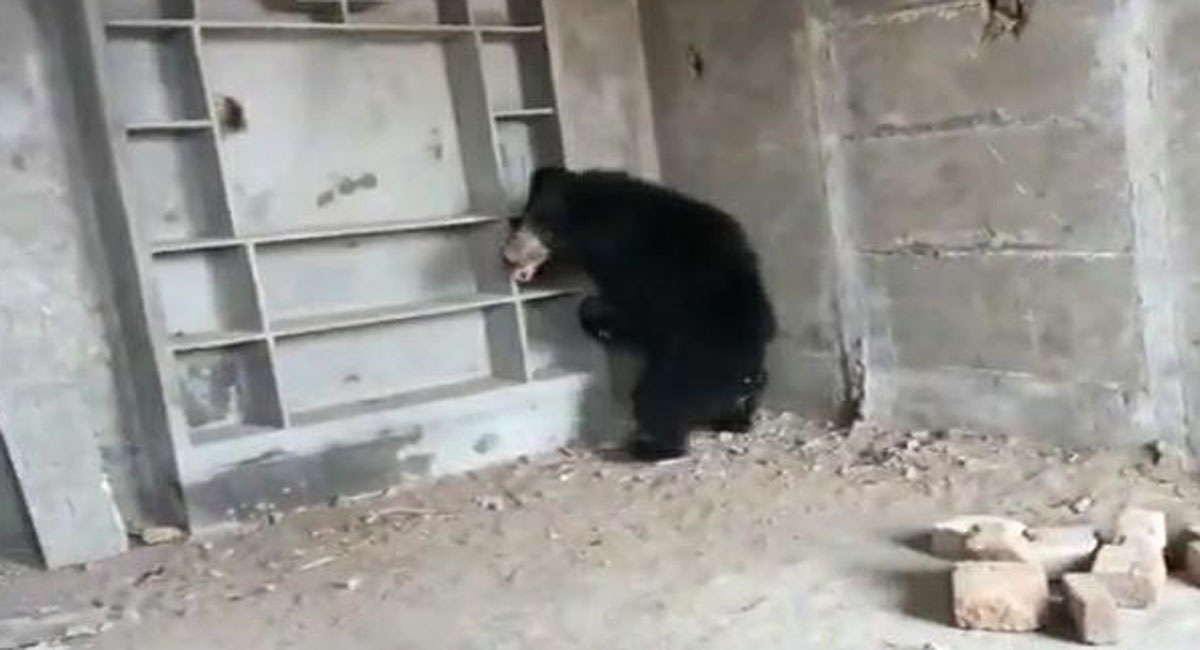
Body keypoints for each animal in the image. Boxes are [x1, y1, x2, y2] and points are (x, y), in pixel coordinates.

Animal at [502, 166, 777, 462]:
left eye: (546, 232)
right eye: (522, 220)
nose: (508, 255)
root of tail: (743, 381)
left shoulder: (637, 270)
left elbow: (635, 314)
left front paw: (598, 317)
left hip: (691, 368)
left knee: (659, 400)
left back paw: (647, 447)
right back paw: (736, 418)